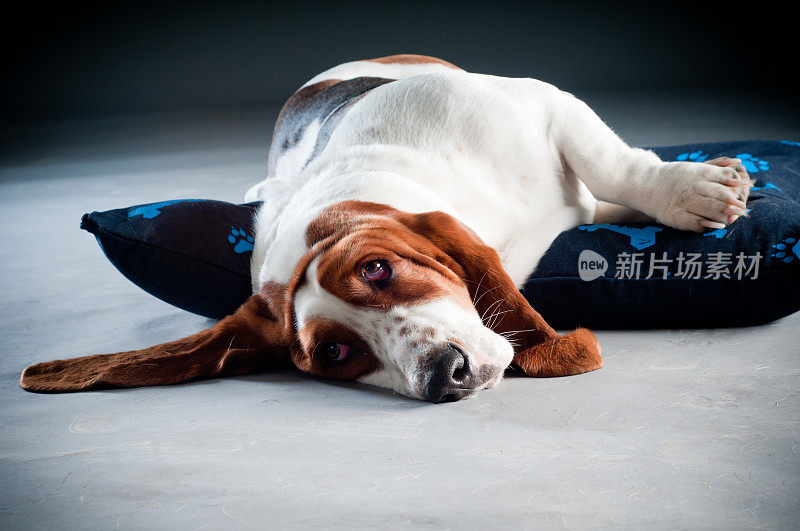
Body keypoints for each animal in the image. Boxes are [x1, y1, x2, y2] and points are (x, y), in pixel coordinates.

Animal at [23, 55, 752, 404]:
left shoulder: (547, 106)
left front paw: (693, 190)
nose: (444, 374)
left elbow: (617, 166)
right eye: (336, 353)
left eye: (377, 268)